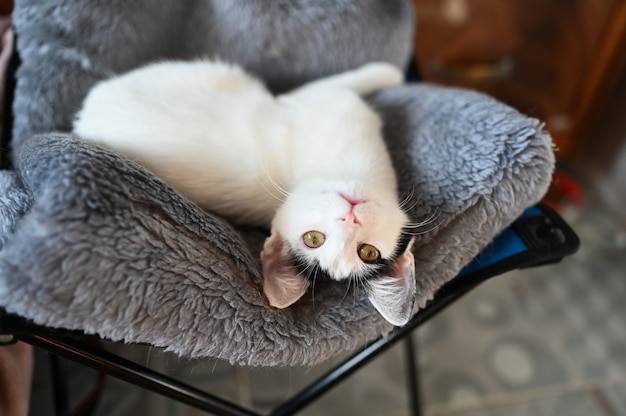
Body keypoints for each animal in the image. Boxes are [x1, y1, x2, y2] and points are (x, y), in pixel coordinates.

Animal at [73, 59, 414, 324]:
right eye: (313, 239)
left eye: (367, 252)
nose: (349, 218)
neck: (354, 171)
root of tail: (83, 123)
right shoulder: (310, 101)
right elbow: (349, 80)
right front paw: (391, 71)